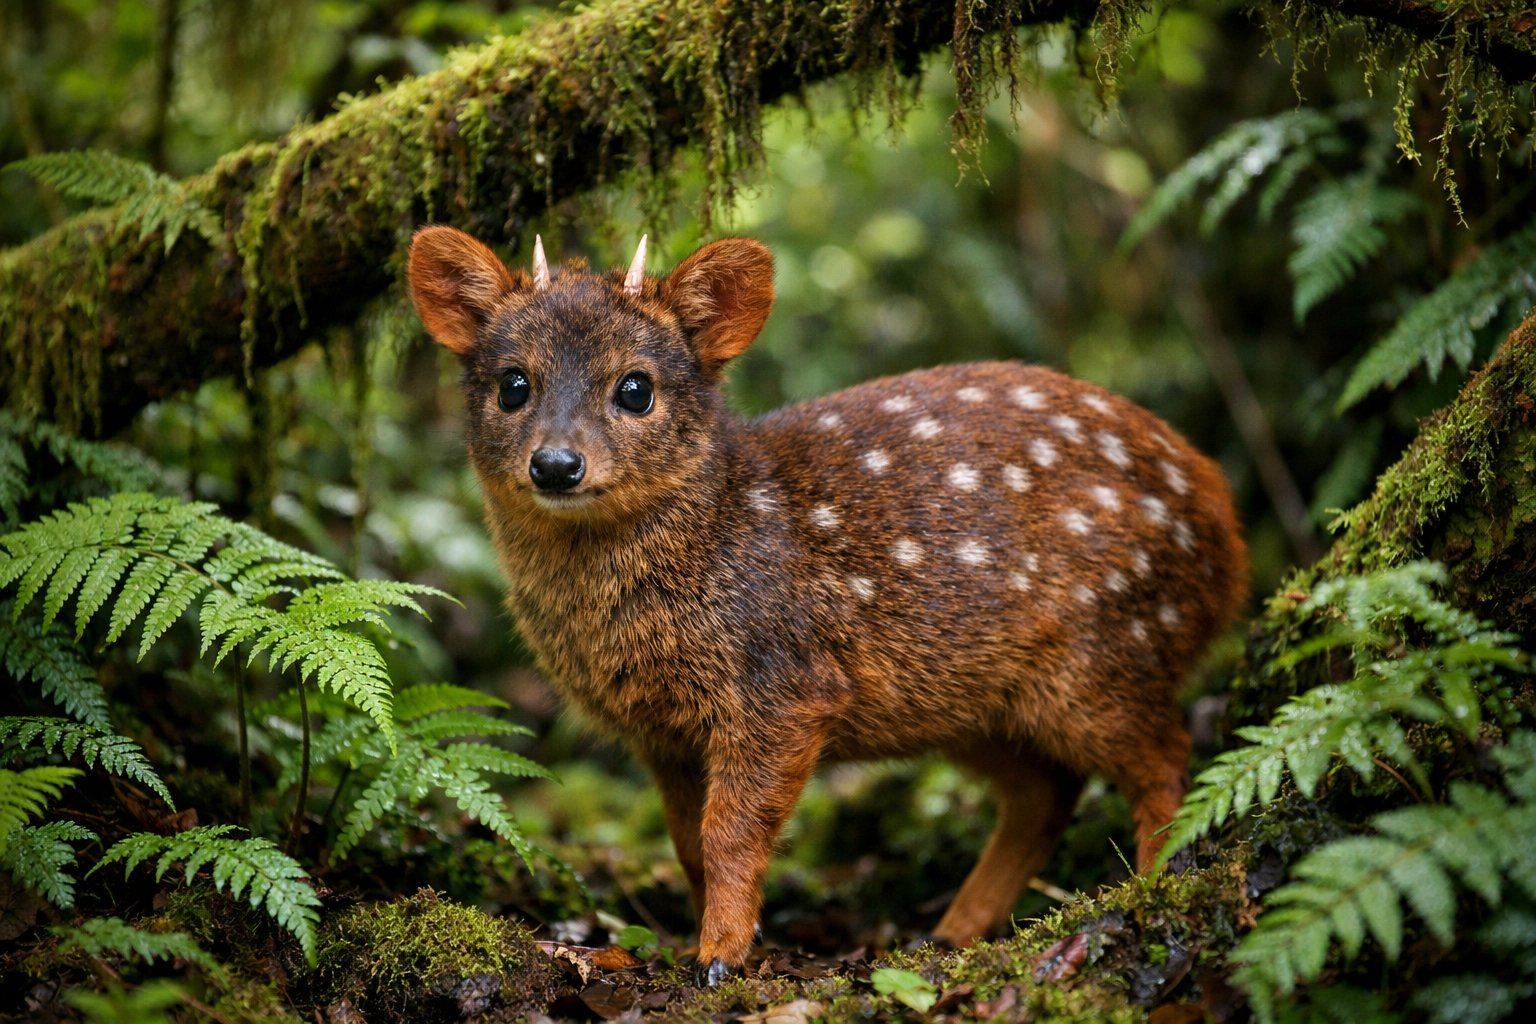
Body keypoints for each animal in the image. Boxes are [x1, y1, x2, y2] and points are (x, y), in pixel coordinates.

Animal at [407, 227, 1248, 985]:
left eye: (636, 388)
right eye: (513, 384)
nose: (555, 464)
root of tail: (1226, 537)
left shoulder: (785, 686)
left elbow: (730, 833)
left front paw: (720, 958)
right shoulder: (663, 734)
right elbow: (686, 843)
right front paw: (705, 940)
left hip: (1107, 648)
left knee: (1167, 756)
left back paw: (1148, 887)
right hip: (971, 700)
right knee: (1047, 792)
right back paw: (949, 934)